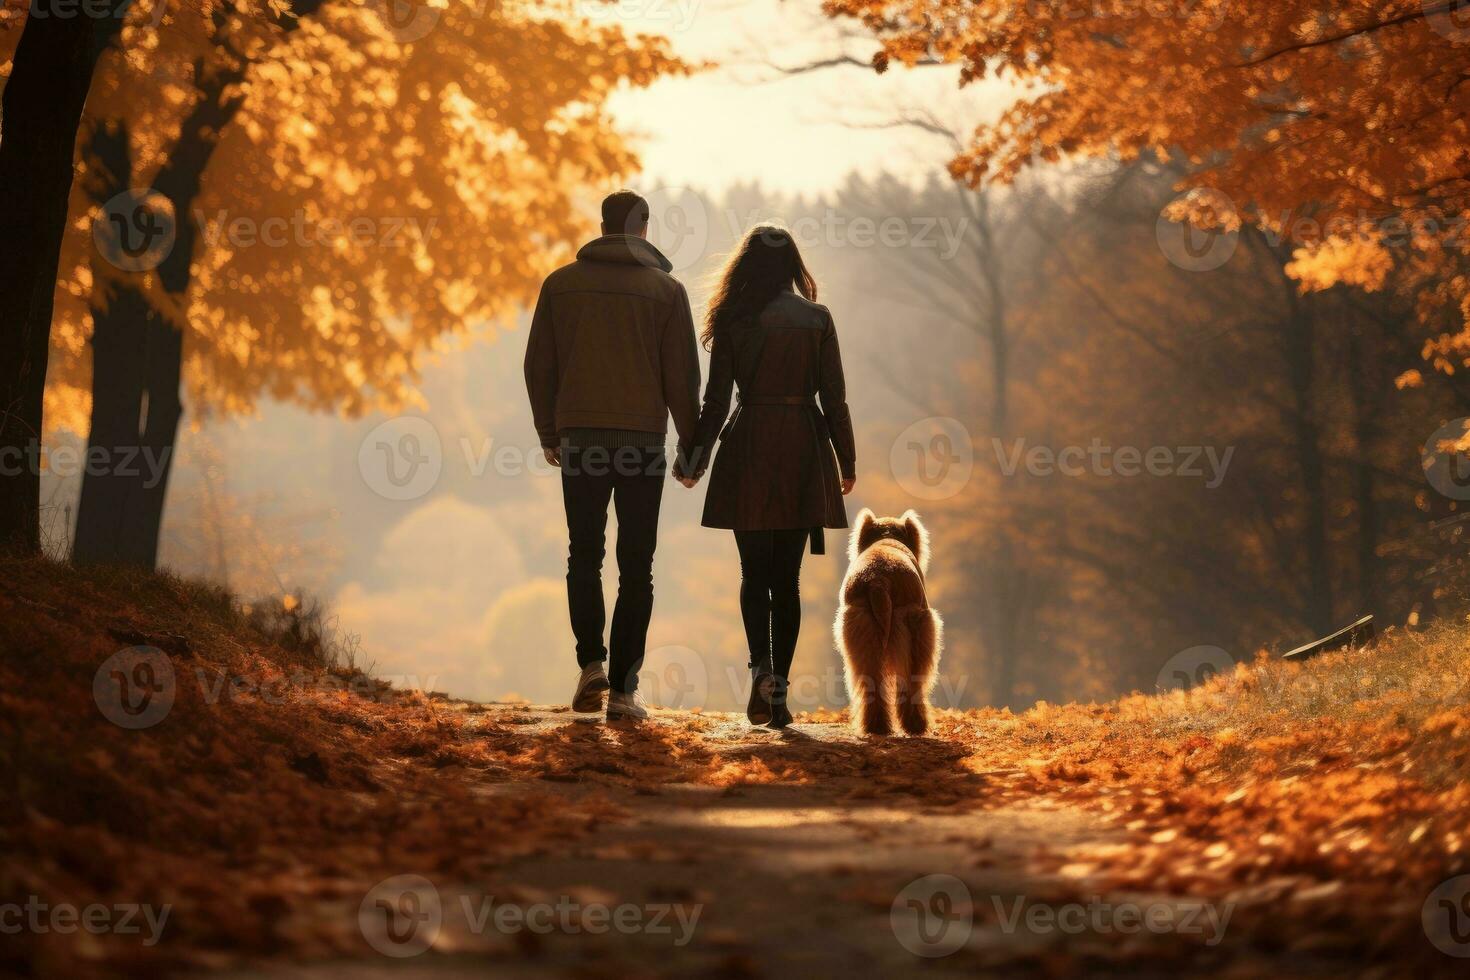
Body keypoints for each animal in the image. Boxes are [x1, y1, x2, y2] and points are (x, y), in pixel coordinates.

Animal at [840, 514, 940, 734]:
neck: (886, 537)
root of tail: (878, 580)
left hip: (861, 632)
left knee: (871, 683)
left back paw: (876, 726)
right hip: (915, 631)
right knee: (911, 682)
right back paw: (916, 724)